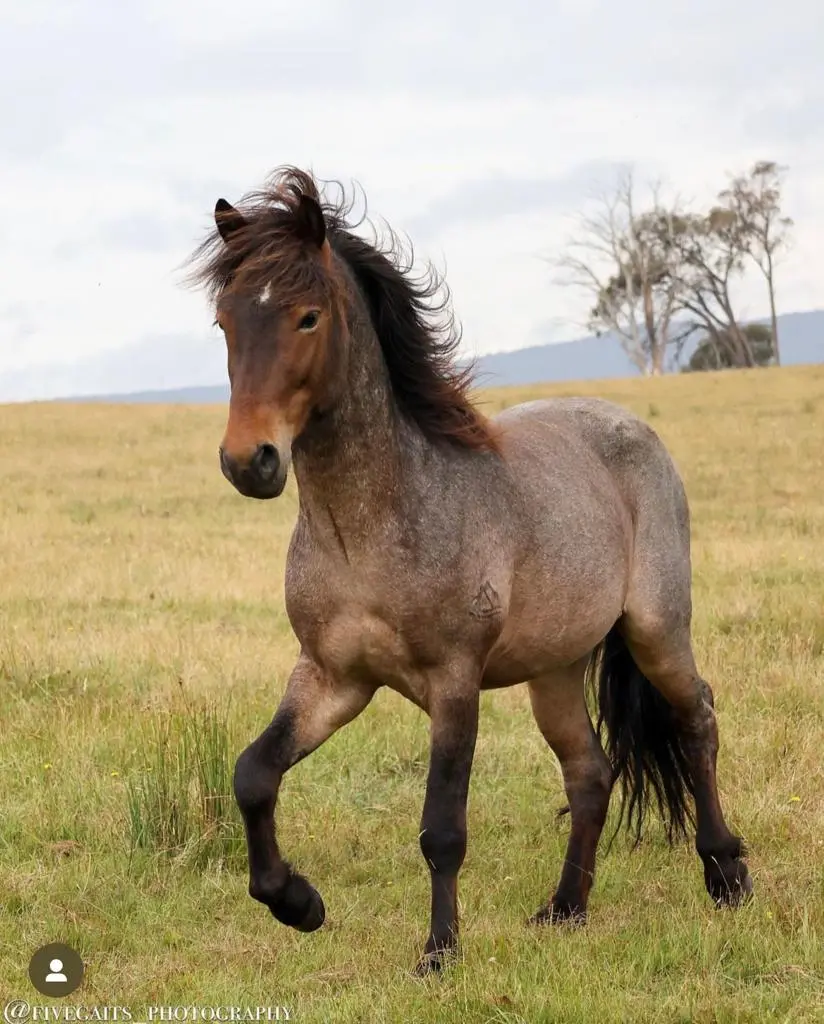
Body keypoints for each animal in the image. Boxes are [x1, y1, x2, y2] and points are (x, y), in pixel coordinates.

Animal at [187, 166, 752, 974]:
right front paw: (297, 903)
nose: (249, 461)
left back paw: (726, 873)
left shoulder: (454, 683)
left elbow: (442, 827)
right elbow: (253, 775)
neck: (373, 528)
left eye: (306, 318)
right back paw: (564, 908)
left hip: (656, 629)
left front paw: (439, 952)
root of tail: (631, 427)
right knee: (590, 773)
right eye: (225, 323)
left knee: (696, 720)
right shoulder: (333, 677)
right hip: (555, 668)